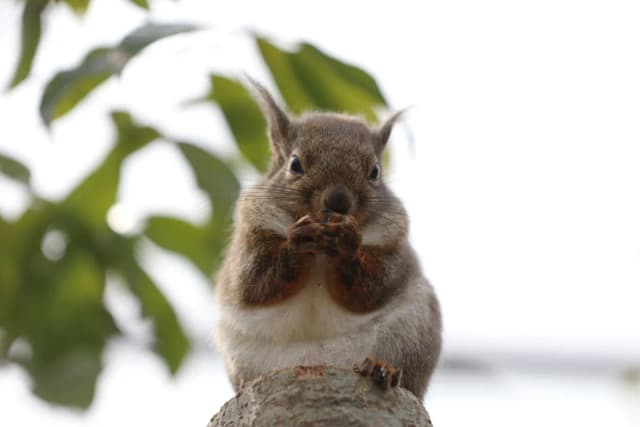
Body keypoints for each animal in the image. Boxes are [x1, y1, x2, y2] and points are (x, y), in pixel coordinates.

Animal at [213, 80, 442, 399]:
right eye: (294, 164)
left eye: (375, 171)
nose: (338, 201)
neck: (322, 251)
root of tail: (320, 362)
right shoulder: (252, 233)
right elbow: (254, 282)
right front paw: (297, 242)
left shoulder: (392, 244)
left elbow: (371, 287)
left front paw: (347, 245)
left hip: (411, 334)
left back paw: (381, 370)